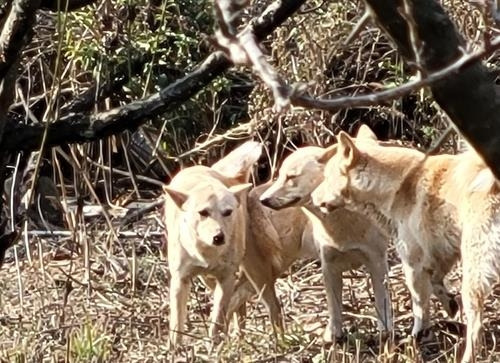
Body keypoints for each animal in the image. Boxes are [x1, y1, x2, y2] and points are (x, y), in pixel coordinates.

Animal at [238, 145, 394, 342]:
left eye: (290, 177)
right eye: (279, 176)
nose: (263, 200)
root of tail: (249, 195)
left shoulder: (377, 261)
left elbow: (382, 300)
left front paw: (385, 331)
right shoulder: (328, 265)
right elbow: (334, 306)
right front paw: (333, 336)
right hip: (266, 274)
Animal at [312, 124, 500, 362]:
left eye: (327, 177)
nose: (312, 196)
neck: (399, 184)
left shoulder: (412, 262)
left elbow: (419, 304)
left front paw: (417, 335)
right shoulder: (440, 253)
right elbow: (436, 282)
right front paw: (449, 303)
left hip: (474, 273)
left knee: (476, 328)